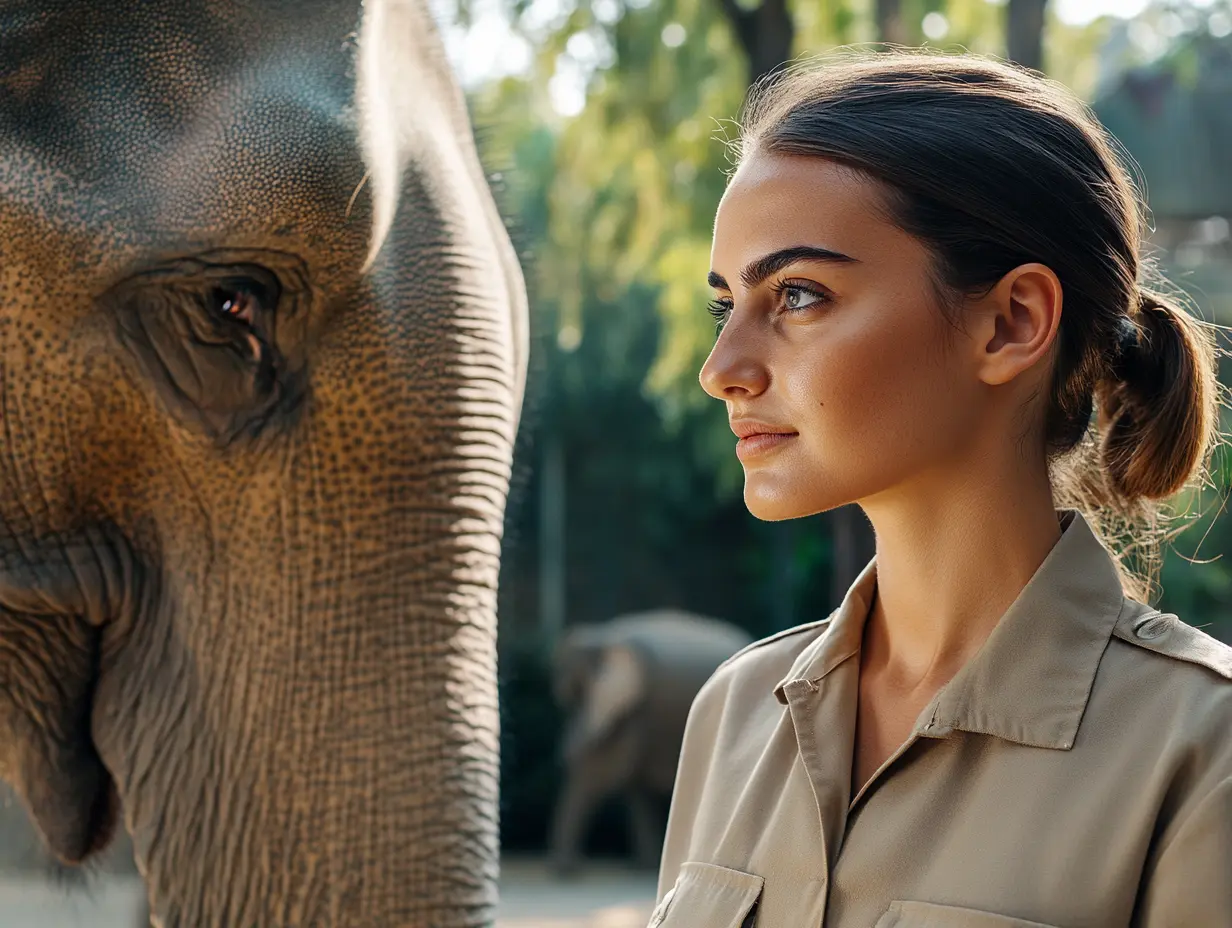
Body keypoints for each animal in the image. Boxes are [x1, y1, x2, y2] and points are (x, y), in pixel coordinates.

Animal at [548, 611, 753, 874]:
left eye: (581, 692)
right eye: (568, 697)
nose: (567, 871)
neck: (604, 635)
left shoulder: (636, 711)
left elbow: (603, 770)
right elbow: (632, 782)